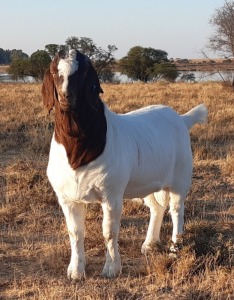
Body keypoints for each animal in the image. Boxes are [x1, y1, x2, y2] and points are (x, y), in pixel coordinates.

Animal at [41, 48, 207, 280]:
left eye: (82, 72)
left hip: (180, 180)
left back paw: (175, 249)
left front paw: (112, 268)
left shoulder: (111, 195)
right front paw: (75, 270)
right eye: (55, 72)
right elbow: (75, 232)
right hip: (146, 183)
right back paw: (149, 244)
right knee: (156, 208)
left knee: (176, 210)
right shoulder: (67, 198)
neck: (78, 151)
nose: (67, 96)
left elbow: (109, 232)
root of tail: (181, 119)